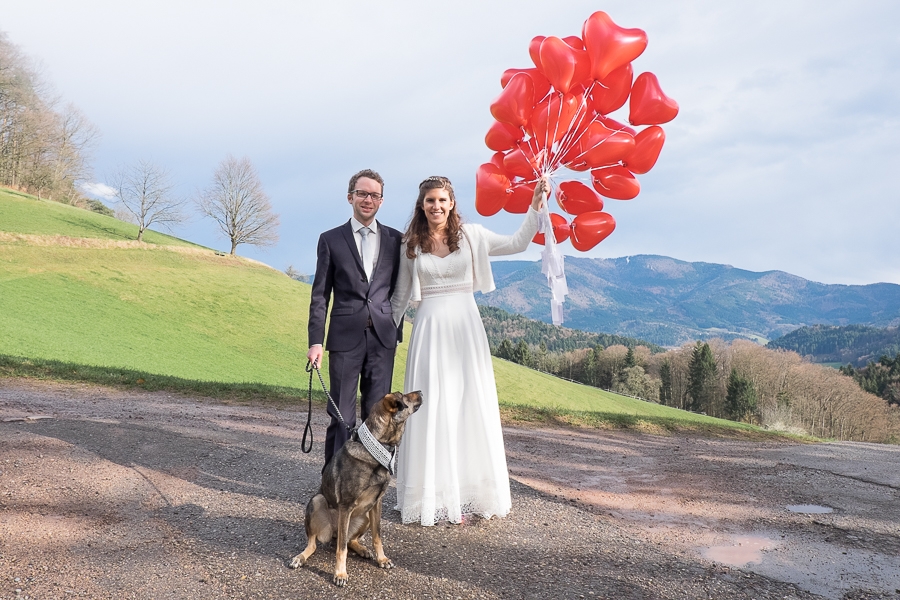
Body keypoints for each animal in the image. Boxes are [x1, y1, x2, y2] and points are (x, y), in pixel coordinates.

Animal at [292, 390, 426, 584]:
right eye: (403, 396)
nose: (421, 392)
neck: (376, 447)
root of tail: (332, 532)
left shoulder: (376, 504)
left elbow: (377, 536)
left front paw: (382, 559)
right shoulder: (346, 506)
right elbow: (341, 549)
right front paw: (340, 573)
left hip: (365, 516)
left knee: (349, 540)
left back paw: (362, 549)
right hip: (317, 501)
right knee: (317, 543)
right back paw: (300, 557)